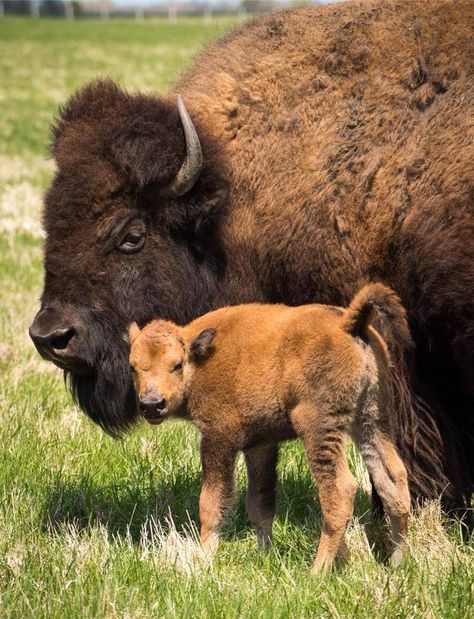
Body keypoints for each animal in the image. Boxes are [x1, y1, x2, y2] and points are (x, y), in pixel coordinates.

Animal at [128, 284, 410, 572]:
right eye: (133, 367)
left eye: (177, 364)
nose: (152, 404)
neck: (200, 358)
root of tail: (349, 323)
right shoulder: (260, 446)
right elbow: (260, 504)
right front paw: (265, 554)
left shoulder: (218, 438)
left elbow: (211, 503)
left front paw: (204, 559)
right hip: (371, 419)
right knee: (394, 480)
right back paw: (399, 561)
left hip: (318, 425)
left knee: (340, 490)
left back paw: (317, 570)